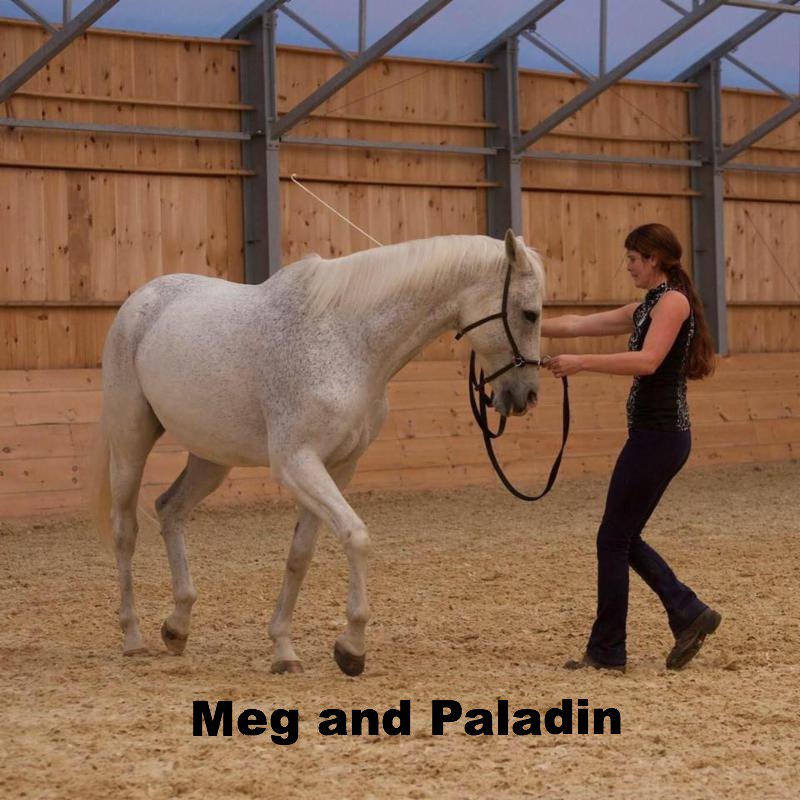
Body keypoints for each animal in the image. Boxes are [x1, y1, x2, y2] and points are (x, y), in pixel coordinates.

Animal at [91, 230, 545, 675]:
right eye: (530, 314)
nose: (526, 397)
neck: (348, 342)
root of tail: (141, 299)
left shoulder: (337, 467)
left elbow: (300, 555)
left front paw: (283, 649)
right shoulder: (298, 464)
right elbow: (356, 536)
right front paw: (352, 647)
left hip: (212, 457)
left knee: (170, 510)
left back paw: (177, 627)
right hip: (130, 444)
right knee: (125, 529)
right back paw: (133, 638)